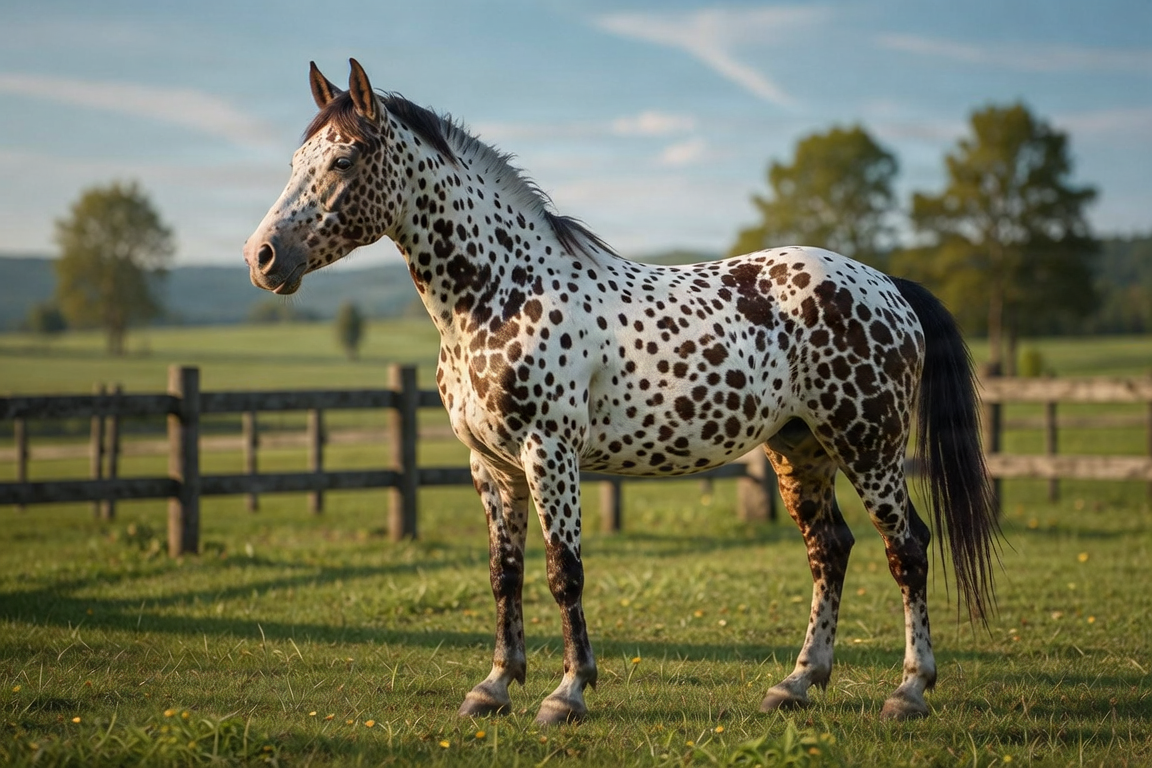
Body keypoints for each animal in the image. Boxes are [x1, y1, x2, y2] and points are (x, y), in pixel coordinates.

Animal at [243, 59, 998, 725]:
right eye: (295, 161)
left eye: (344, 161)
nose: (262, 258)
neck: (501, 292)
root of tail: (886, 284)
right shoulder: (491, 466)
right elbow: (504, 573)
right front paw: (494, 687)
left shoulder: (550, 454)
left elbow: (563, 572)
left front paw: (567, 693)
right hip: (800, 448)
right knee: (830, 548)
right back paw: (797, 683)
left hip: (868, 446)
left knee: (907, 547)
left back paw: (909, 691)